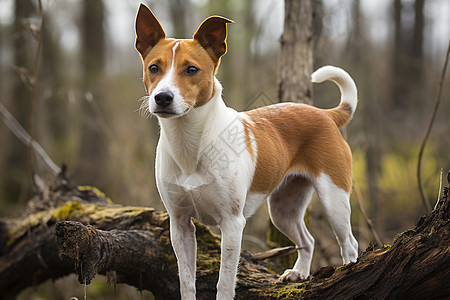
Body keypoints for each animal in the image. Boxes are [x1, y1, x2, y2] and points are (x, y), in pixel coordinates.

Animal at [134, 3, 358, 298]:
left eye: (192, 69)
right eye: (154, 68)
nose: (162, 98)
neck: (191, 143)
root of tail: (326, 114)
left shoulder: (232, 224)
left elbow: (224, 281)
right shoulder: (179, 223)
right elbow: (186, 280)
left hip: (334, 199)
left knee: (350, 244)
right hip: (283, 209)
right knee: (307, 239)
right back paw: (298, 273)